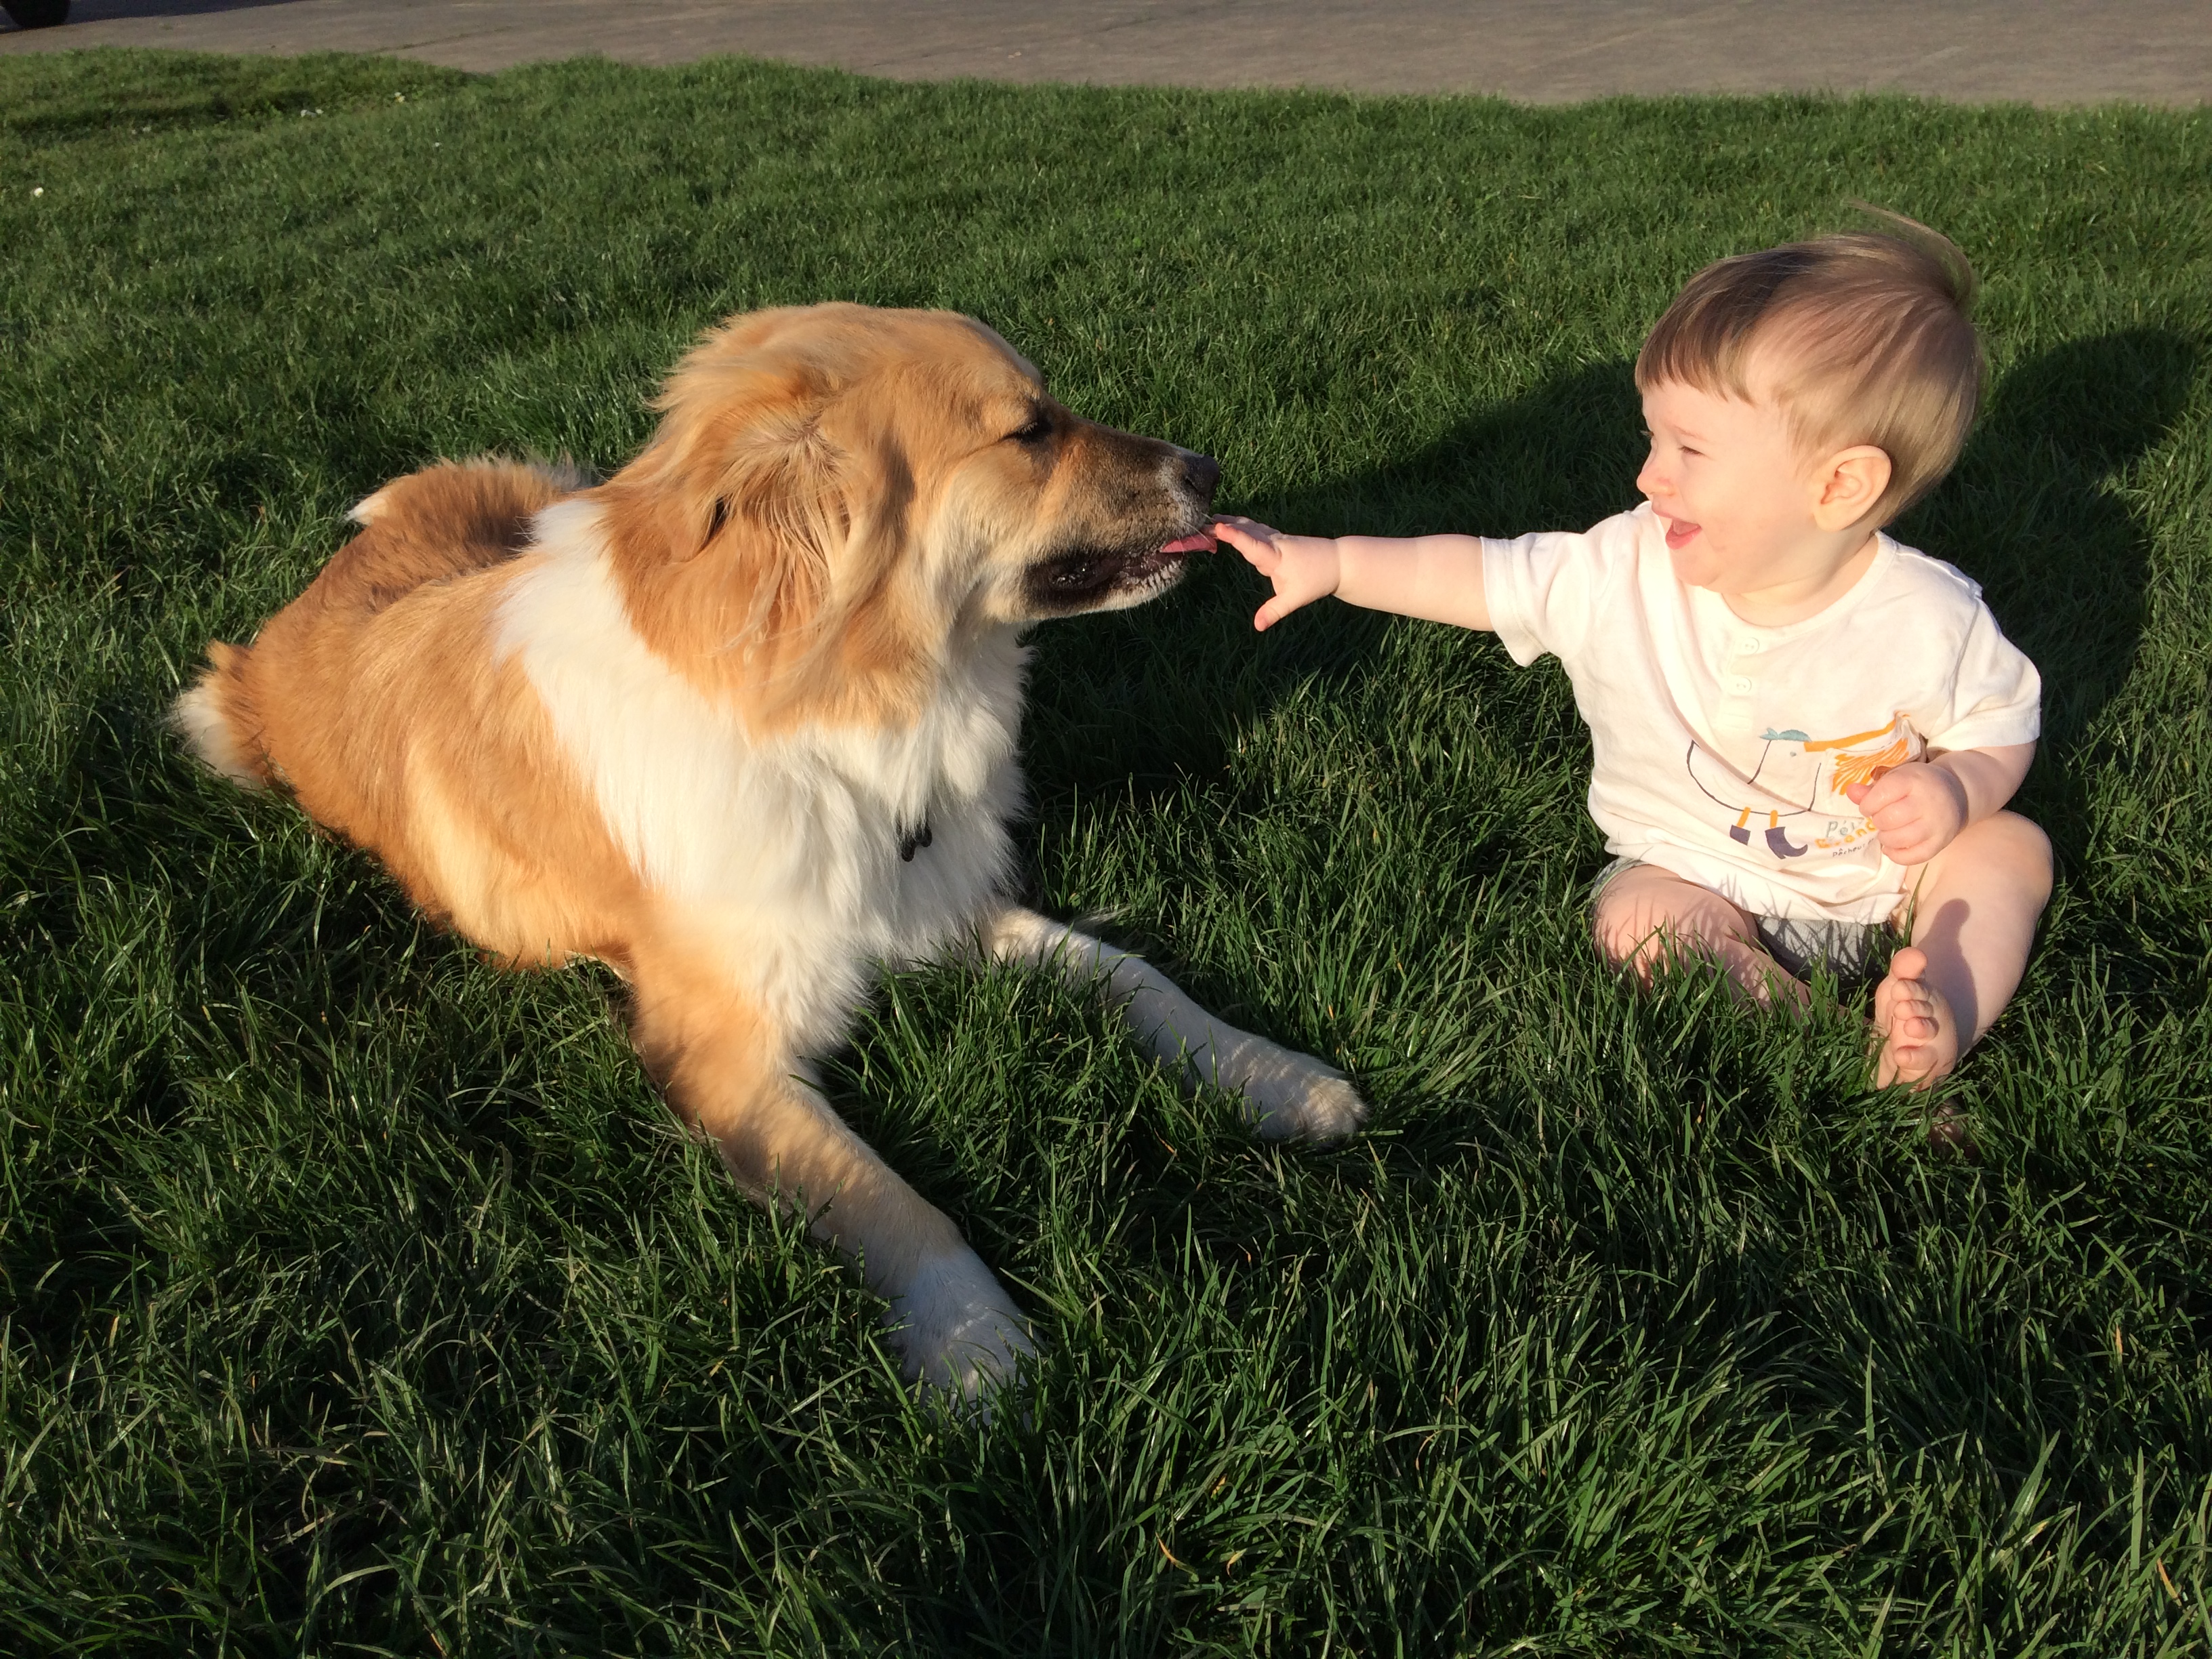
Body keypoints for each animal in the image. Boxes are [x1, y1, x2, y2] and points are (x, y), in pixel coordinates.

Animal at [173, 303, 1365, 1402]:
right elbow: (892, 1197)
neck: (832, 719)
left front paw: (1279, 1079)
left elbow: (1139, 977)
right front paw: (978, 1347)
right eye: (1029, 431)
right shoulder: (722, 1058)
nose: (1210, 470)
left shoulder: (943, 900)